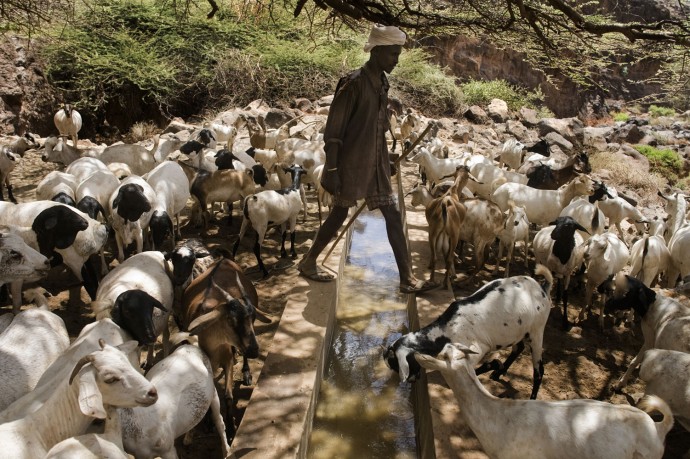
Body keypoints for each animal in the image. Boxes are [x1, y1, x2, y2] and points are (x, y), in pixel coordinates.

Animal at [384, 266, 552, 402]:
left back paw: (532, 398)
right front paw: (496, 366)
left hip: (537, 331)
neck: (444, 330)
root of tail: (543, 287)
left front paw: (492, 364)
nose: (411, 380)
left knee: (539, 370)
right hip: (519, 330)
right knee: (518, 348)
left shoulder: (478, 347)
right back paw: (498, 373)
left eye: (396, 364)